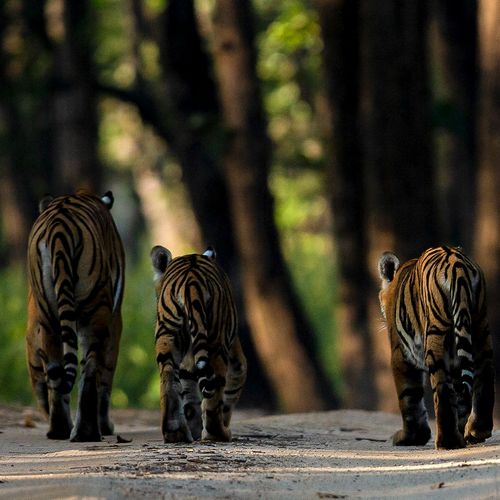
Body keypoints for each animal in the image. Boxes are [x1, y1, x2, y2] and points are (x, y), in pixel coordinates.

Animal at [25, 188, 125, 442]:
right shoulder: (115, 319)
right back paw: (87, 432)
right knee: (90, 368)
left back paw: (59, 429)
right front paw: (106, 426)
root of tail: (59, 225)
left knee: (55, 370)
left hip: (49, 317)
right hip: (97, 312)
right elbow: (106, 374)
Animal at [151, 245, 247, 442]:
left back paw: (175, 433)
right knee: (215, 392)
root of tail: (191, 281)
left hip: (167, 336)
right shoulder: (236, 355)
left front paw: (194, 428)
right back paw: (218, 433)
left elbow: (189, 395)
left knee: (168, 379)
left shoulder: (187, 361)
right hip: (216, 344)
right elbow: (232, 389)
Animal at [378, 246, 492, 450]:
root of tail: (457, 263)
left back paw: (448, 442)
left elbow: (409, 397)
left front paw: (411, 437)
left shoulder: (400, 354)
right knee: (484, 375)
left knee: (443, 389)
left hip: (436, 334)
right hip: (479, 325)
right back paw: (477, 431)